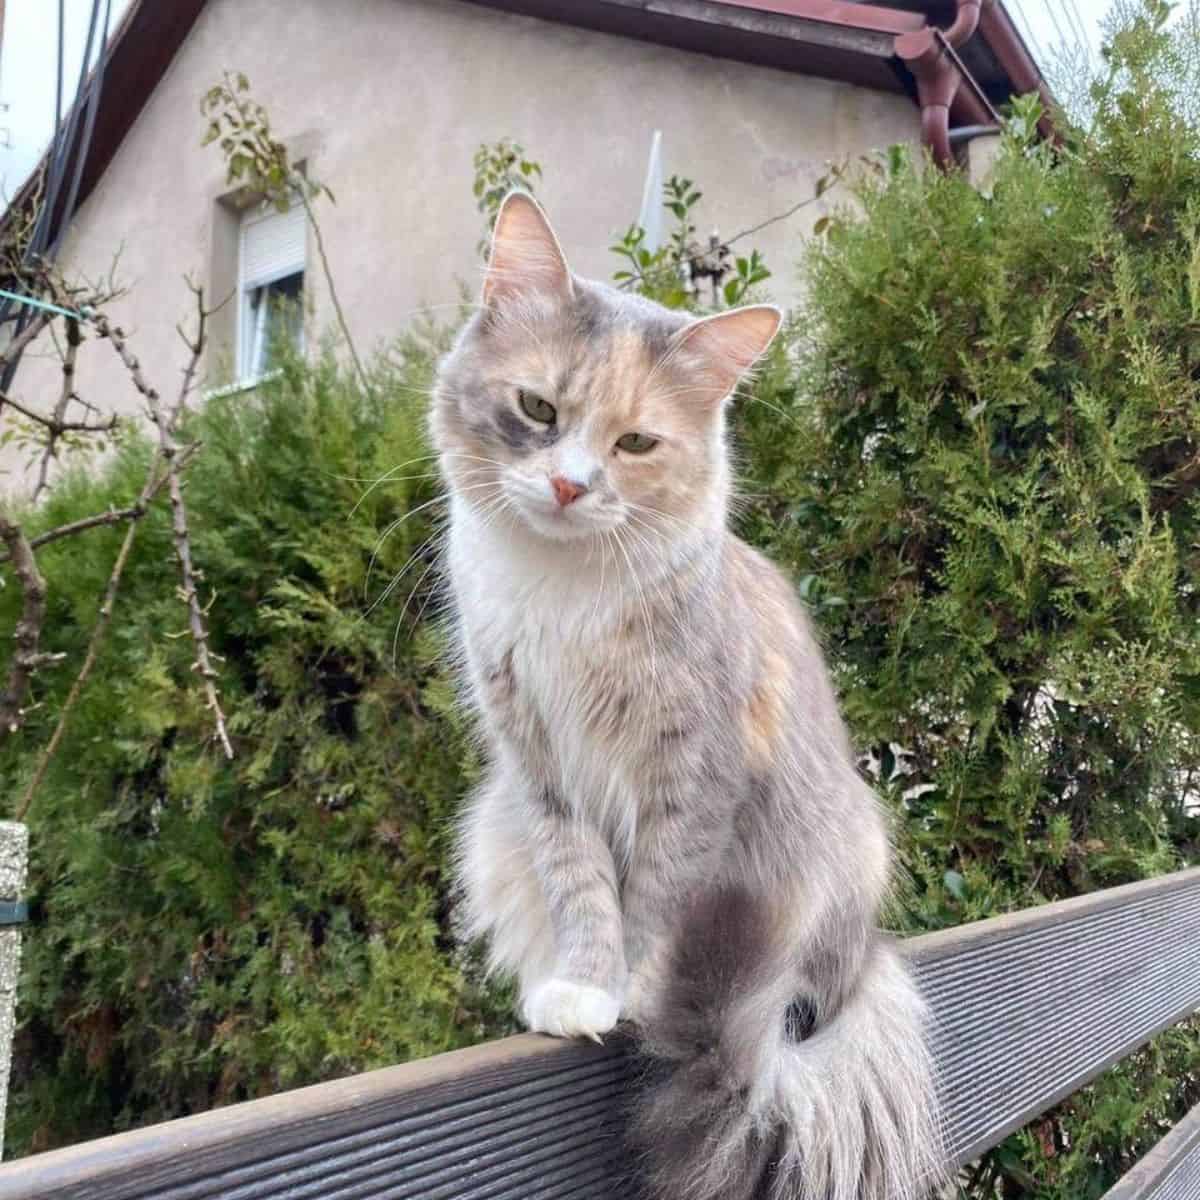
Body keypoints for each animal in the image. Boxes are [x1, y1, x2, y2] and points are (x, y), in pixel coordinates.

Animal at [434, 192, 945, 1195]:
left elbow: (657, 901)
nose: (568, 485)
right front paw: (582, 990)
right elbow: (583, 889)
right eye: (537, 408)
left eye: (635, 442)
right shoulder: (542, 772)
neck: (568, 596)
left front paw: (631, 992)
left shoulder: (693, 771)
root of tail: (871, 950)